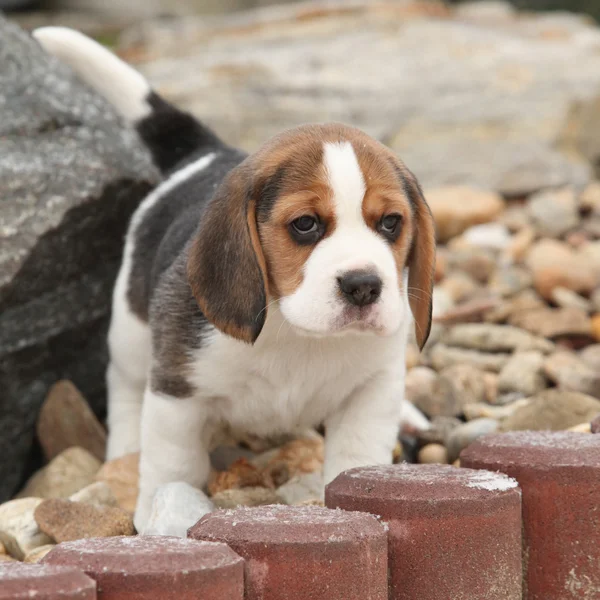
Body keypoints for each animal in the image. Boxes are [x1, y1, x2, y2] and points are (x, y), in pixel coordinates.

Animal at [34, 27, 436, 528]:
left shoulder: (372, 389)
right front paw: (156, 514)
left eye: (391, 223)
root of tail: (210, 152)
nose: (363, 285)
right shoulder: (176, 392)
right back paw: (124, 449)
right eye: (305, 224)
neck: (296, 333)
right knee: (124, 386)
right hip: (130, 331)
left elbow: (357, 457)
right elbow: (174, 464)